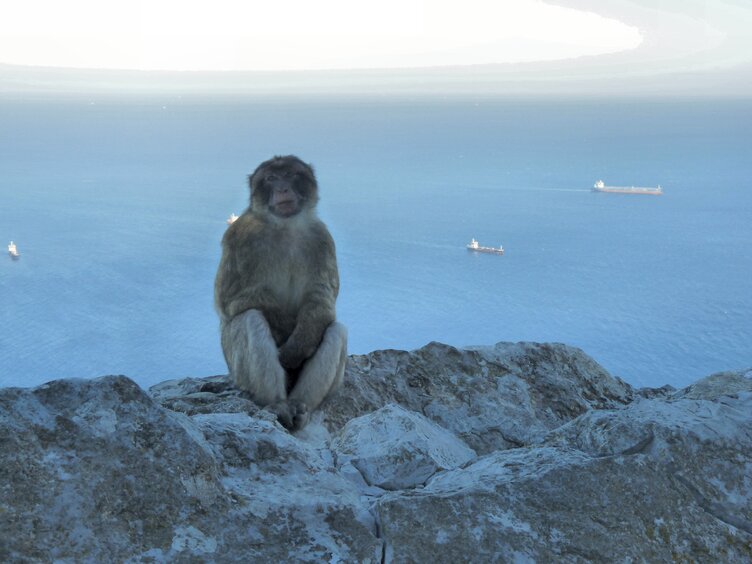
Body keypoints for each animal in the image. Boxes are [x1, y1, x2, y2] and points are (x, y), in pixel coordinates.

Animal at [213, 155, 348, 432]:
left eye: (290, 174)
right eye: (271, 178)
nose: (283, 188)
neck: (285, 227)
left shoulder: (322, 239)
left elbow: (322, 301)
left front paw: (296, 348)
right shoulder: (239, 237)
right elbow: (232, 300)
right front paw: (282, 329)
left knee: (335, 330)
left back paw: (299, 405)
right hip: (237, 372)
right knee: (251, 319)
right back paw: (277, 404)